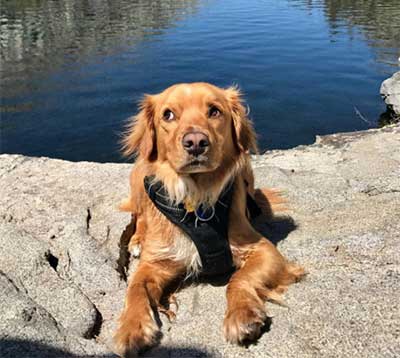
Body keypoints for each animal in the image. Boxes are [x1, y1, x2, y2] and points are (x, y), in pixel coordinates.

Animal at [114, 83, 302, 356]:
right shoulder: (154, 263)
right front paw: (131, 328)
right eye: (168, 115)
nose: (195, 142)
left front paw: (241, 315)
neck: (196, 197)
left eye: (214, 111)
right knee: (140, 214)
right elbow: (135, 290)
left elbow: (239, 279)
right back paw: (137, 239)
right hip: (139, 178)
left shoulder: (263, 249)